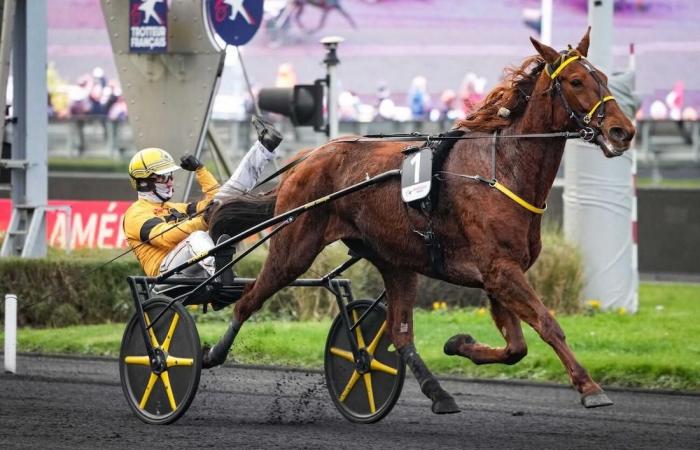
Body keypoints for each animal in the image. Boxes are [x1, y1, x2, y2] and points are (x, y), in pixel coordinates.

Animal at [206, 29, 636, 414]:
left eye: (604, 77)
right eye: (576, 80)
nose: (624, 131)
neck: (501, 169)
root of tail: (310, 157)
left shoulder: (499, 275)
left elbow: (516, 348)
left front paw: (459, 344)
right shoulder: (500, 271)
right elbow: (548, 325)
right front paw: (590, 387)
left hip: (396, 263)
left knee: (400, 334)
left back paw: (436, 393)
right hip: (294, 246)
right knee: (248, 299)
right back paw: (211, 354)